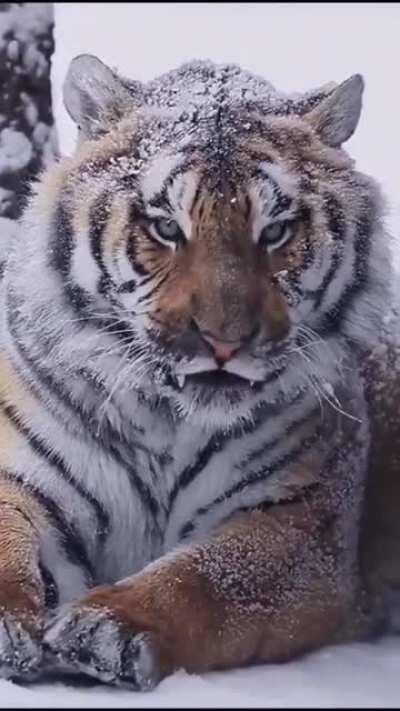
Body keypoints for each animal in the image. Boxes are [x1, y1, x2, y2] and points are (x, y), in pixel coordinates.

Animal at [0, 54, 398, 690]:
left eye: (276, 231)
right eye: (166, 227)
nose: (224, 340)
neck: (166, 420)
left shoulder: (305, 524)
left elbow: (205, 579)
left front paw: (107, 629)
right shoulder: (23, 479)